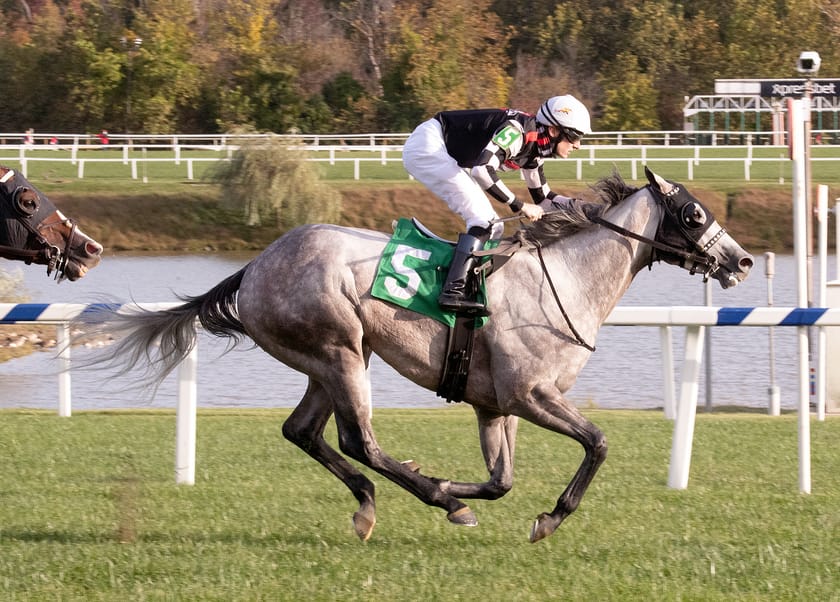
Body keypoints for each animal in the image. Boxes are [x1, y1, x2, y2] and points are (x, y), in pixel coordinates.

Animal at [75, 166, 752, 540]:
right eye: (693, 213)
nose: (742, 260)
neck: (565, 278)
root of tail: (256, 264)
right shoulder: (532, 395)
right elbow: (598, 443)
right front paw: (545, 518)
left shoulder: (496, 404)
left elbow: (502, 480)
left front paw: (457, 482)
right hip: (341, 352)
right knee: (359, 440)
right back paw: (437, 501)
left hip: (328, 361)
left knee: (303, 432)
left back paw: (377, 503)